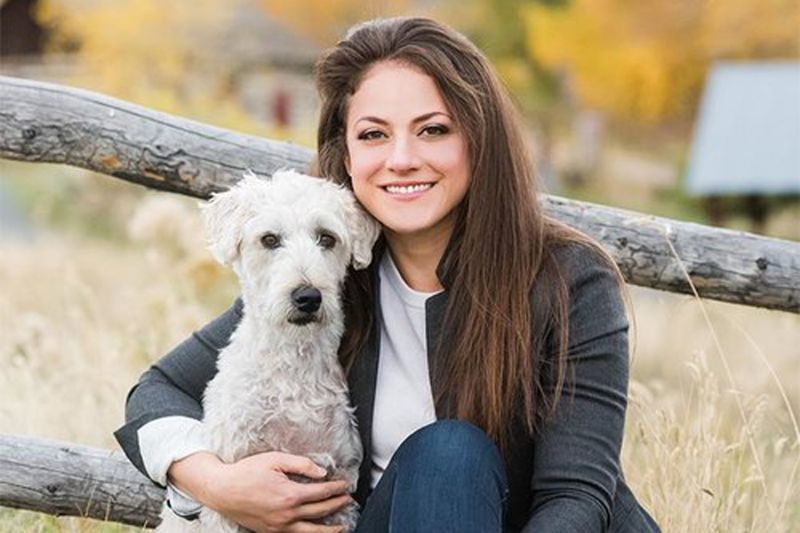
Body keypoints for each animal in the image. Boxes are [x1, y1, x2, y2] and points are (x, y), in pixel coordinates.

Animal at [159, 170, 382, 532]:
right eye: (269, 239)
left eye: (327, 238)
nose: (308, 297)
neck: (293, 365)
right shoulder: (231, 490)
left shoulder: (340, 493)